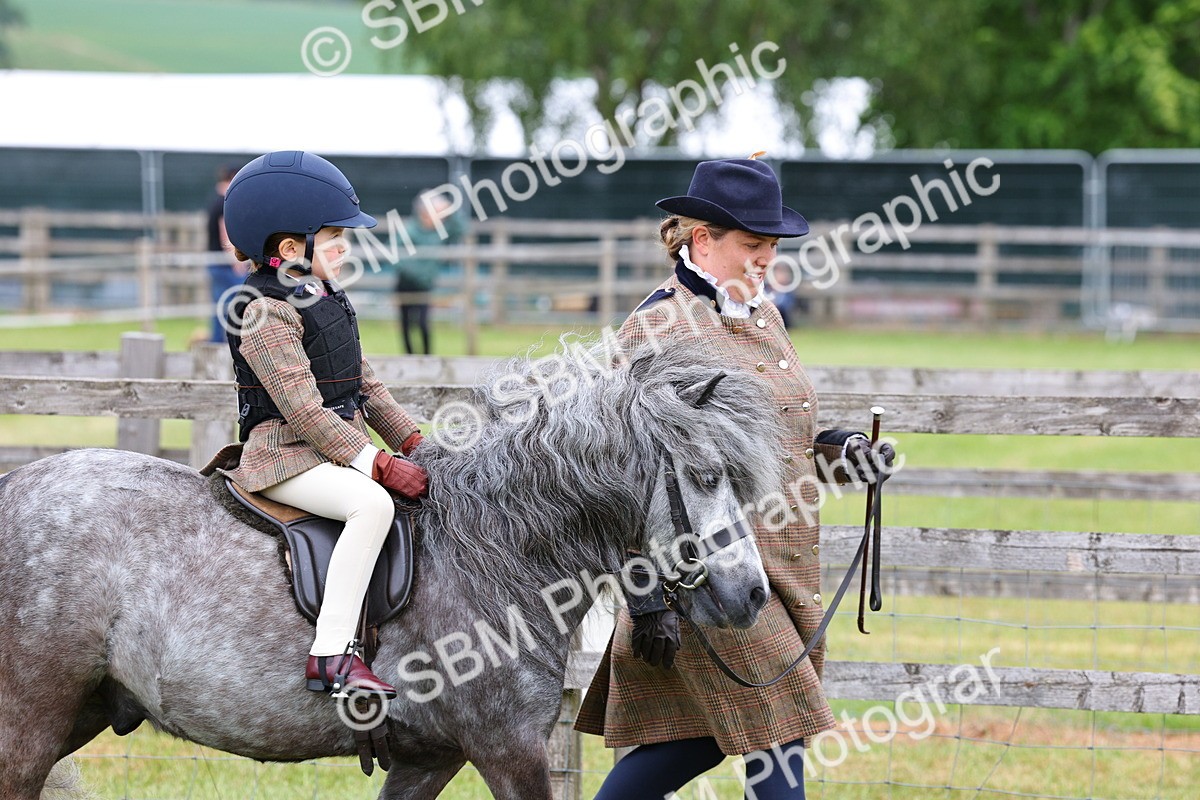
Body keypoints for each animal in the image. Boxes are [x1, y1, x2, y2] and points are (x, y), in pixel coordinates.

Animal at [0, 338, 785, 799]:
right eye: (707, 476)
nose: (751, 594)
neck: (496, 549)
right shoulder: (509, 749)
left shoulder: (427, 758)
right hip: (29, 721)